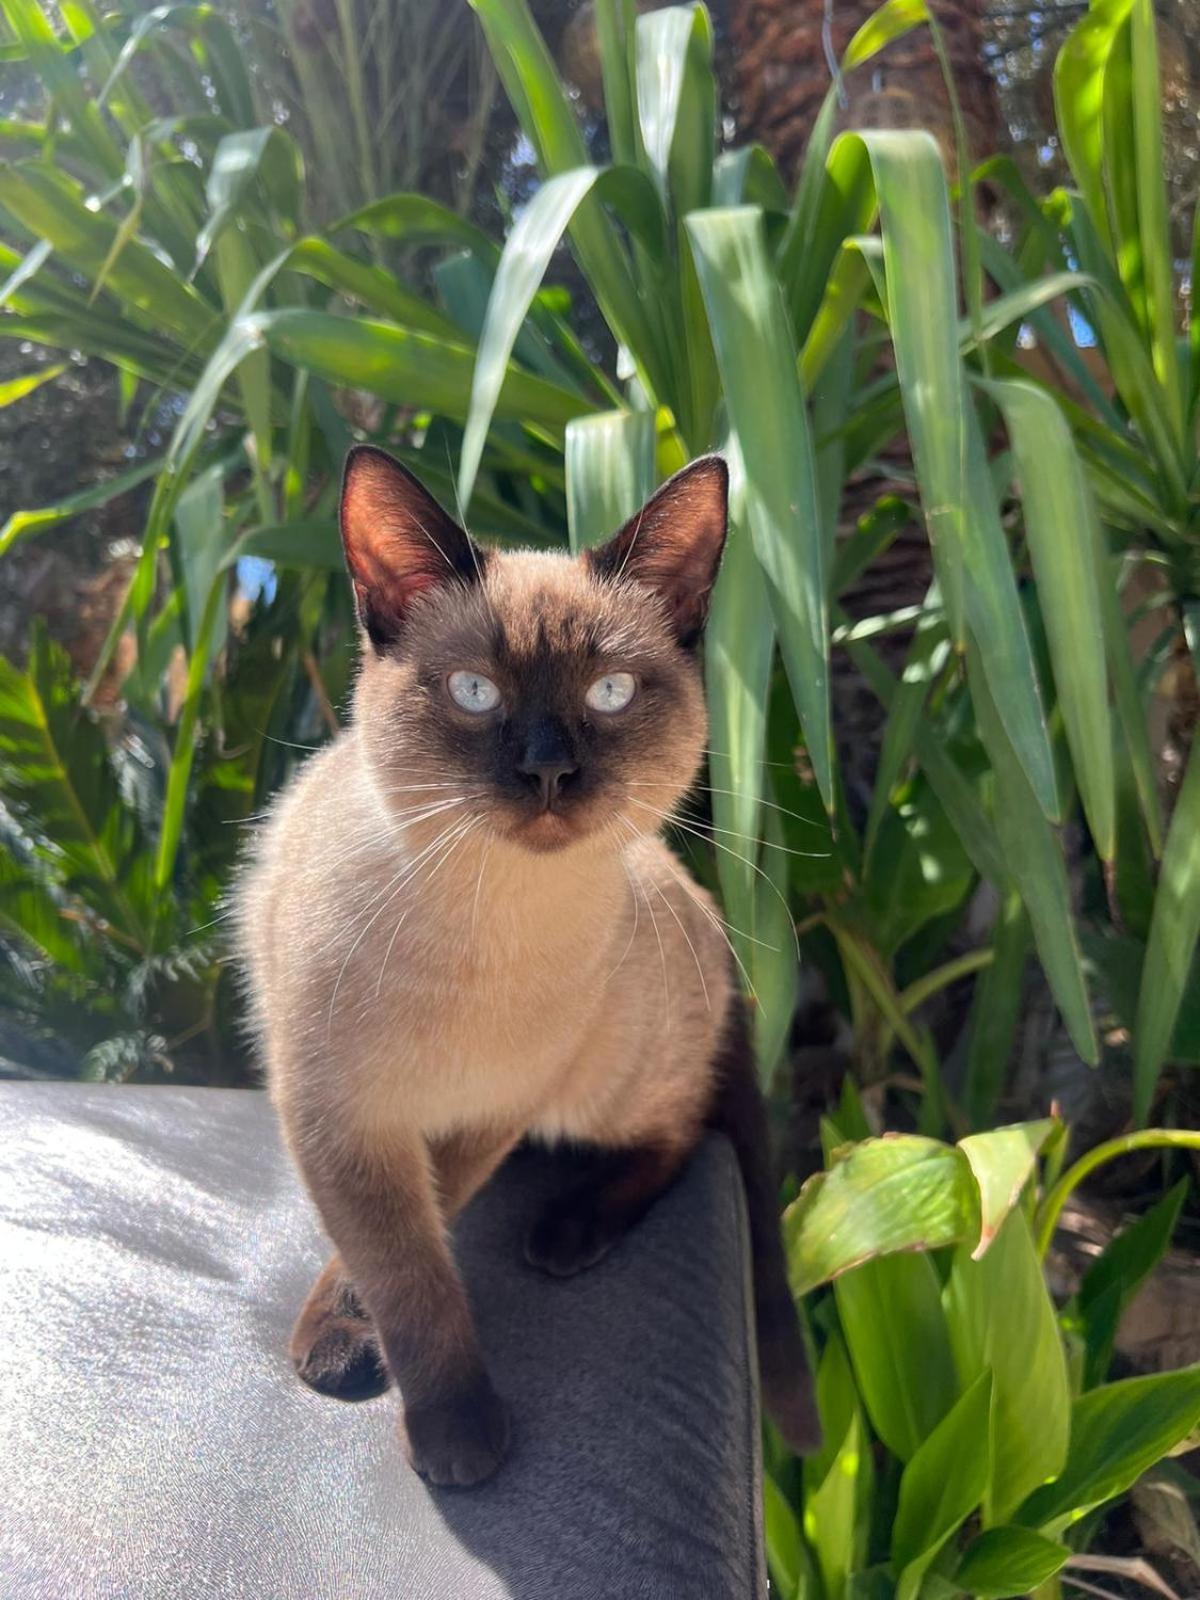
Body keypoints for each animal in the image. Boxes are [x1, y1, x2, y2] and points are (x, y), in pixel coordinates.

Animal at [236, 448, 819, 1484]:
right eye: (476, 693)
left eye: (609, 694)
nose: (548, 772)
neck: (485, 927)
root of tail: (708, 914)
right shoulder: (343, 1124)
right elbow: (406, 1271)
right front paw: (432, 1415)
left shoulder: (491, 1113)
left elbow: (423, 1240)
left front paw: (444, 1432)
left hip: (602, 1086)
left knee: (687, 1133)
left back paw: (564, 1236)